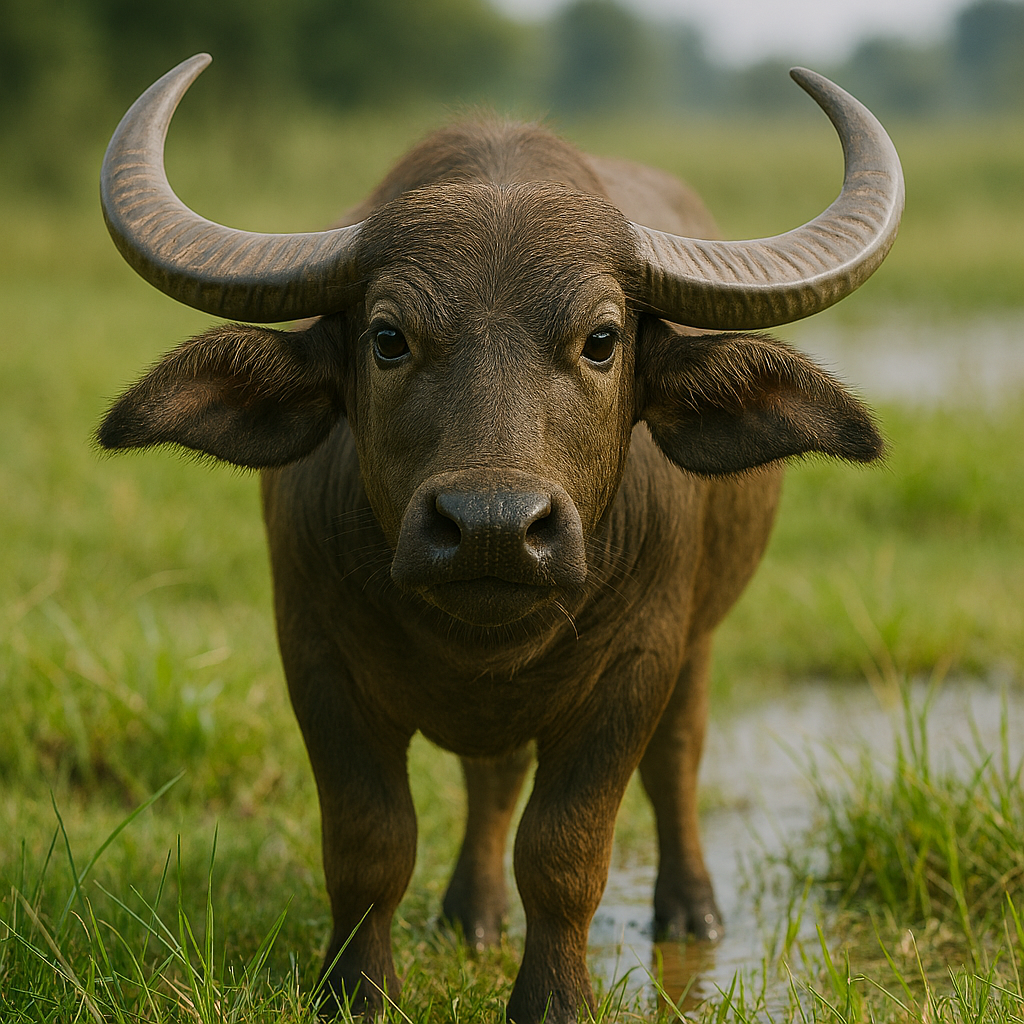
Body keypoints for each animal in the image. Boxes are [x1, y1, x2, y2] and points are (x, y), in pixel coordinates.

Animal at [98, 54, 902, 1023]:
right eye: (388, 337)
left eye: (602, 339)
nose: (491, 529)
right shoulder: (315, 654)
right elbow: (369, 843)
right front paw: (357, 992)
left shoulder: (636, 663)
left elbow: (564, 852)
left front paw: (555, 998)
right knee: (493, 781)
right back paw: (472, 912)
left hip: (700, 639)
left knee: (676, 760)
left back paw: (689, 912)